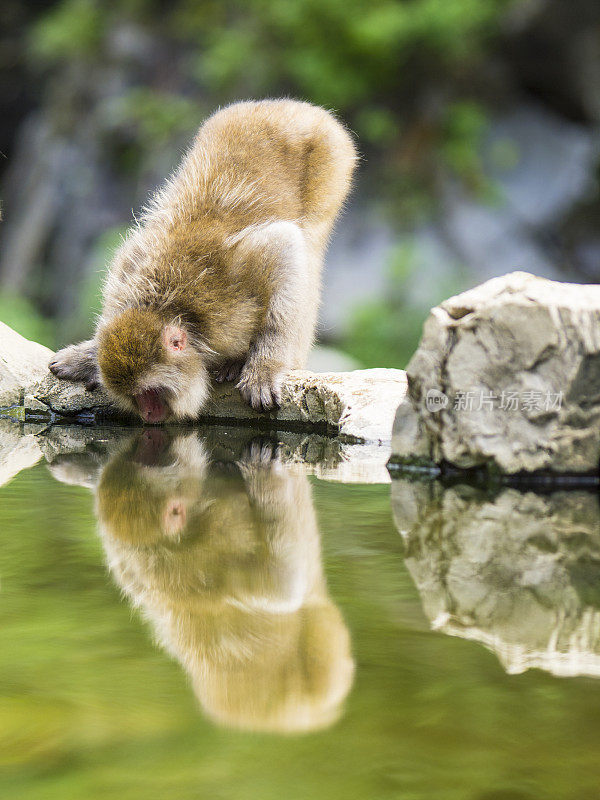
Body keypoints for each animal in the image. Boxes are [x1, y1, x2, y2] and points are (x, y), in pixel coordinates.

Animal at [50, 100, 356, 422]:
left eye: (151, 392)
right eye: (135, 397)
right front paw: (87, 356)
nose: (148, 414)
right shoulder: (128, 268)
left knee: (307, 245)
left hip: (332, 158)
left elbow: (283, 246)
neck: (169, 309)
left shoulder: (227, 300)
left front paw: (264, 369)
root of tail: (286, 105)